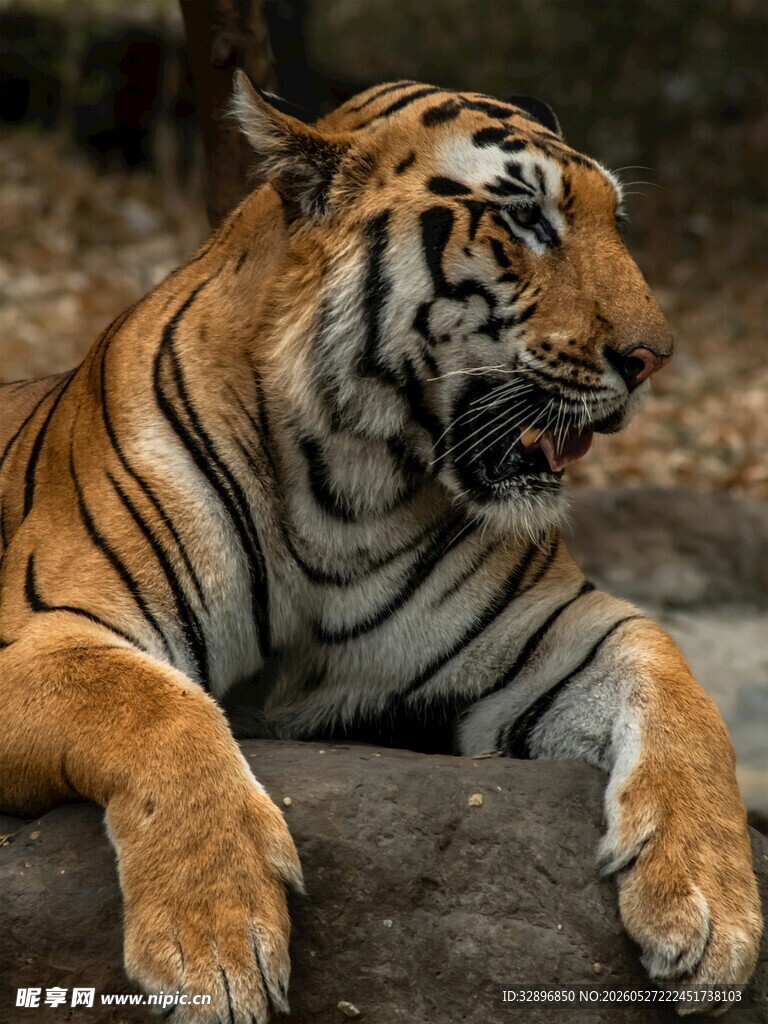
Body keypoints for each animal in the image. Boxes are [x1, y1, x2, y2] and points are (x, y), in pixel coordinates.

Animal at [0, 73, 762, 1022]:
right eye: (528, 219)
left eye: (612, 220)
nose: (653, 358)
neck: (346, 489)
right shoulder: (47, 631)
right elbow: (161, 709)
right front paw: (214, 943)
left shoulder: (556, 634)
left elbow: (683, 695)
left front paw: (714, 907)